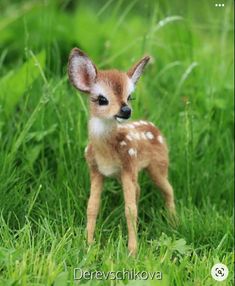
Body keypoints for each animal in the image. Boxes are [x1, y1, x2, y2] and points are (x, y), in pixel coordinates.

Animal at [67, 48, 175, 256]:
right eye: (102, 99)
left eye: (130, 96)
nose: (126, 110)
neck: (106, 151)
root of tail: (156, 128)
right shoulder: (96, 170)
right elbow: (92, 206)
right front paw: (88, 244)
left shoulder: (128, 165)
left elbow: (129, 210)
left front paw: (132, 251)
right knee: (139, 189)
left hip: (158, 165)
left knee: (168, 189)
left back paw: (174, 223)